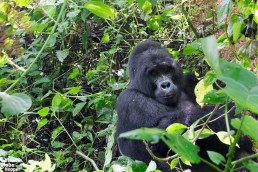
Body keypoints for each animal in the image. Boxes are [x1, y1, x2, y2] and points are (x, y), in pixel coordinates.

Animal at [116, 40, 253, 171]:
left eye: (167, 70)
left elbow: (229, 108)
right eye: (153, 73)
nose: (165, 84)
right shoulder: (128, 100)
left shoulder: (190, 79)